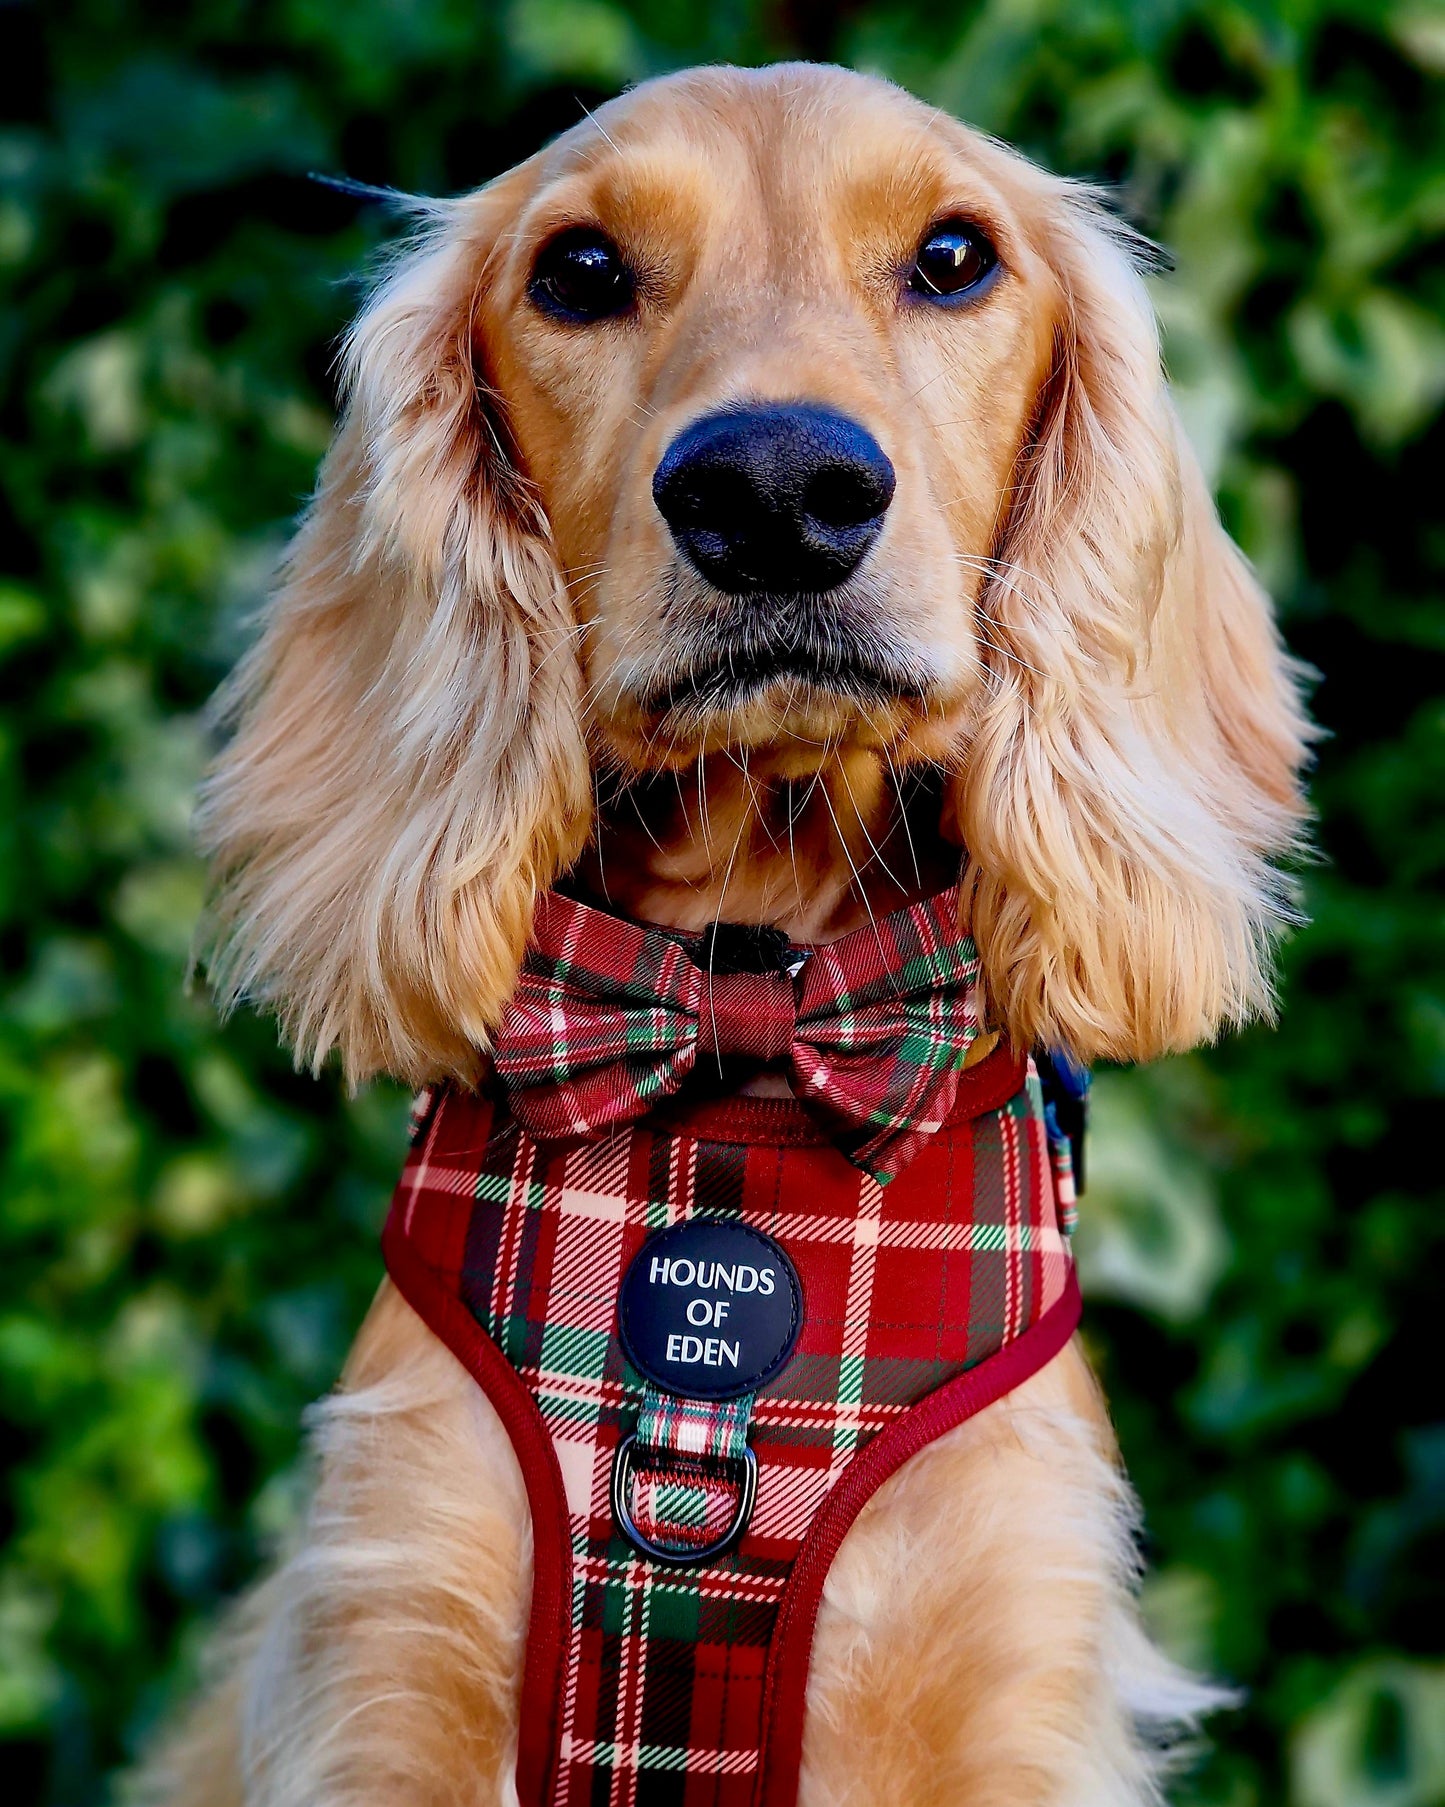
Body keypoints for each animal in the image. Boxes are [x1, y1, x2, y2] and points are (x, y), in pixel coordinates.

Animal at [140, 56, 1314, 1807]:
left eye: (953, 257)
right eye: (577, 272)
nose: (771, 490)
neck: (745, 1022)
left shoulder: (1004, 1675)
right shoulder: (388, 1654)